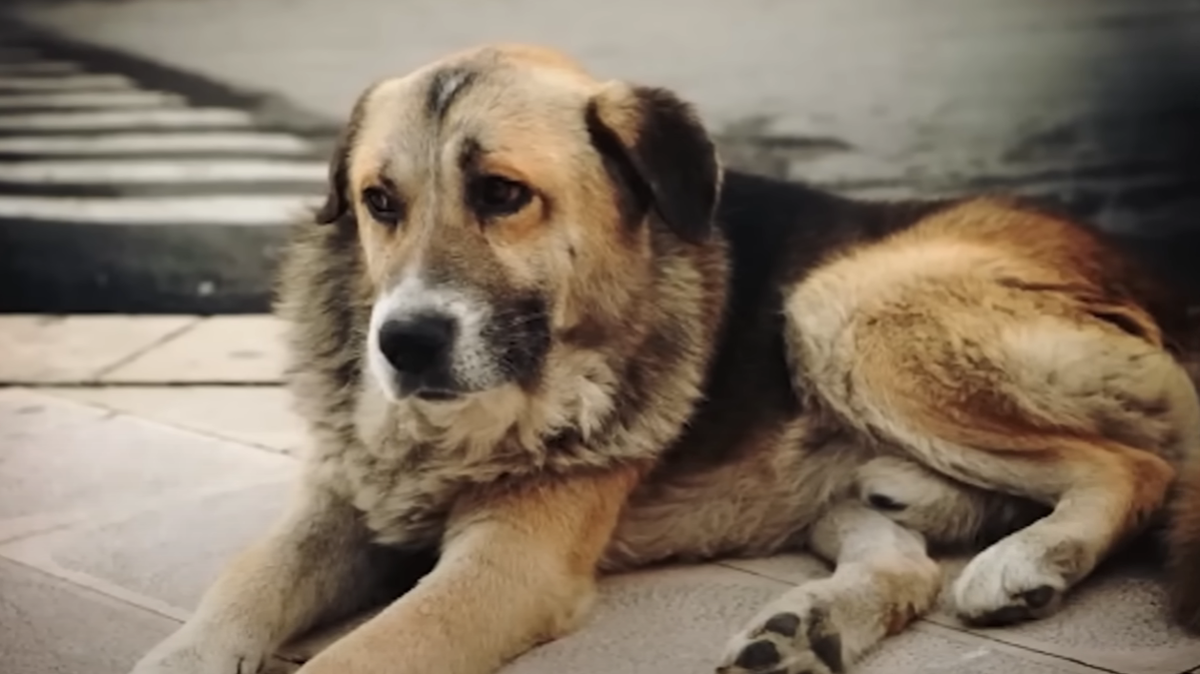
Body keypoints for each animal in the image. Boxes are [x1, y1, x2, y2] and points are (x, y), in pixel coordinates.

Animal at [131, 43, 1200, 671]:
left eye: (503, 194)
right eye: (377, 203)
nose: (401, 343)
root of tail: (1145, 265)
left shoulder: (508, 565)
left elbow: (365, 652)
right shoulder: (336, 506)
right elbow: (243, 584)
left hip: (842, 307)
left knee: (1134, 468)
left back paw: (1031, 560)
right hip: (846, 468)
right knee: (906, 564)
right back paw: (806, 631)